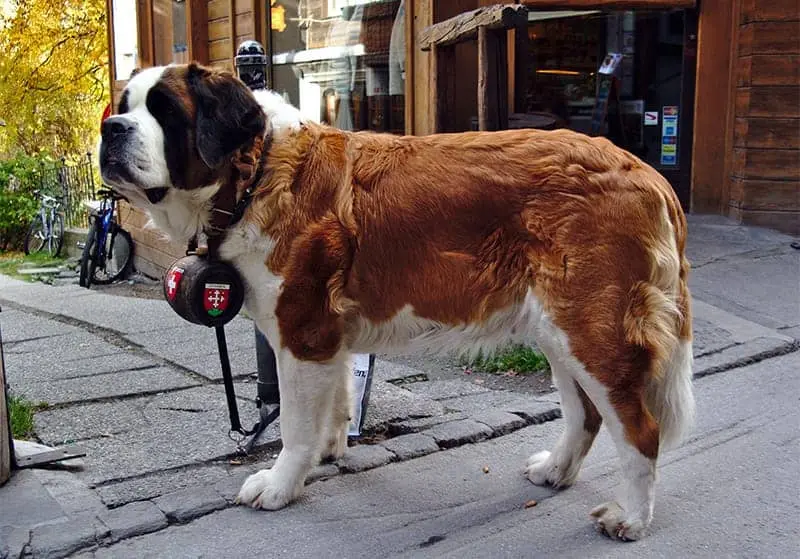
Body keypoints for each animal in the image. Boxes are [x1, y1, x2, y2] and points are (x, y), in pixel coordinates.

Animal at [100, 63, 692, 540]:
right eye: (124, 105)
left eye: (165, 111)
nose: (110, 128)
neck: (257, 171)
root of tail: (644, 170)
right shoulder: (328, 337)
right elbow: (335, 401)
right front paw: (331, 450)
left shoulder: (303, 331)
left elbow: (293, 424)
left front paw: (281, 483)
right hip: (559, 331)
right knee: (584, 414)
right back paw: (556, 471)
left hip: (590, 329)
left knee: (640, 430)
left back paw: (631, 519)